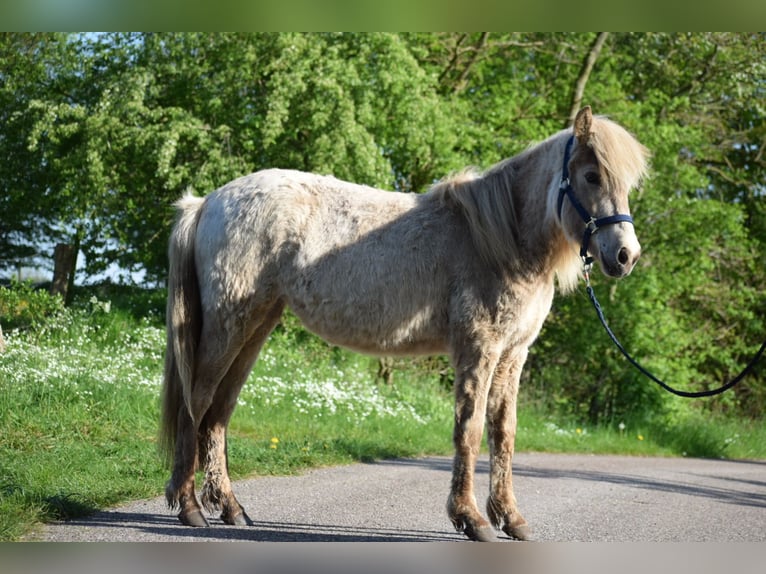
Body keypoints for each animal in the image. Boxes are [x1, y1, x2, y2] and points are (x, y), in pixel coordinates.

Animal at [159, 108, 652, 544]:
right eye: (591, 176)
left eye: (626, 183)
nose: (626, 255)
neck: (499, 240)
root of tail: (206, 202)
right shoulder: (479, 349)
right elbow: (470, 431)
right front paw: (472, 519)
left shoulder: (514, 354)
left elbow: (504, 433)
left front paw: (511, 518)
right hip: (228, 326)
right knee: (196, 403)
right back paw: (190, 507)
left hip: (255, 327)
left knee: (219, 412)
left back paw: (232, 509)